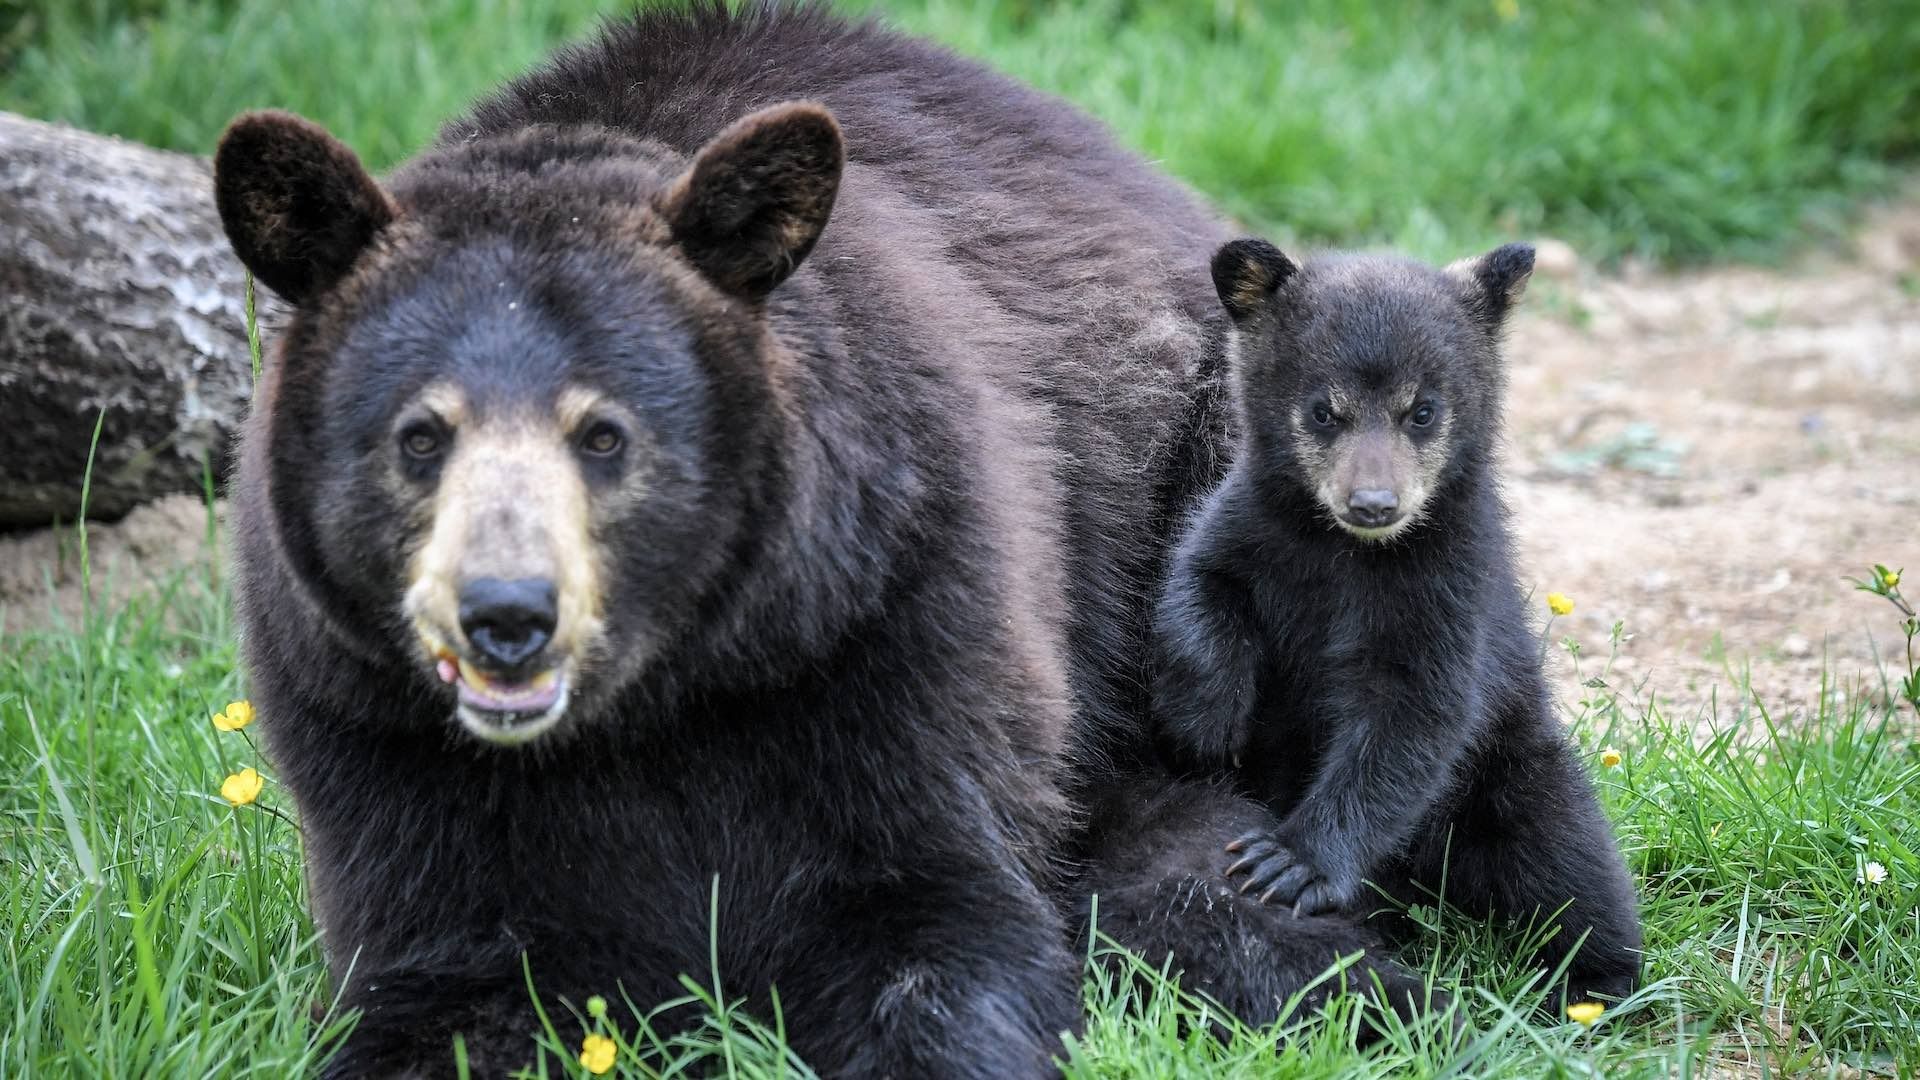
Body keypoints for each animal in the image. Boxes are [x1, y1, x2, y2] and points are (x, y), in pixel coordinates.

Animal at [217, 6, 1428, 1068]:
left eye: (605, 433)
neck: (660, 701)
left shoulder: (885, 611)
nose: (506, 618)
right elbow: (449, 975)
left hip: (1206, 509)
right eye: (420, 434)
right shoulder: (377, 730)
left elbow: (940, 918)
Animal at [1144, 235, 1643, 999]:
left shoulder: (1450, 586)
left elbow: (1410, 717)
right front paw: (1208, 724)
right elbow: (1202, 583)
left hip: (1517, 770)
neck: (1348, 553)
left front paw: (1289, 863)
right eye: (1324, 411)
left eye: (1423, 411)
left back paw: (1596, 984)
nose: (1374, 504)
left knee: (1570, 869)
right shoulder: (1251, 524)